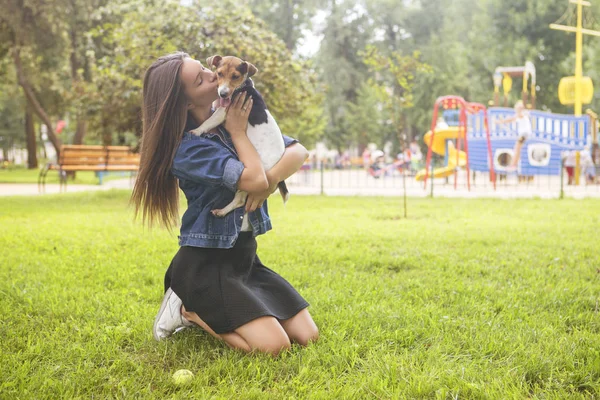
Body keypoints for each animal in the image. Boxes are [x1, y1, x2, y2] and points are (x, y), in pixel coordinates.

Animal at [190, 55, 288, 217]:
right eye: (219, 73)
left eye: (235, 76)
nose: (223, 94)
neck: (241, 87)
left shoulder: (222, 112)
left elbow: (208, 121)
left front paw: (197, 130)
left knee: (240, 200)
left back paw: (222, 211)